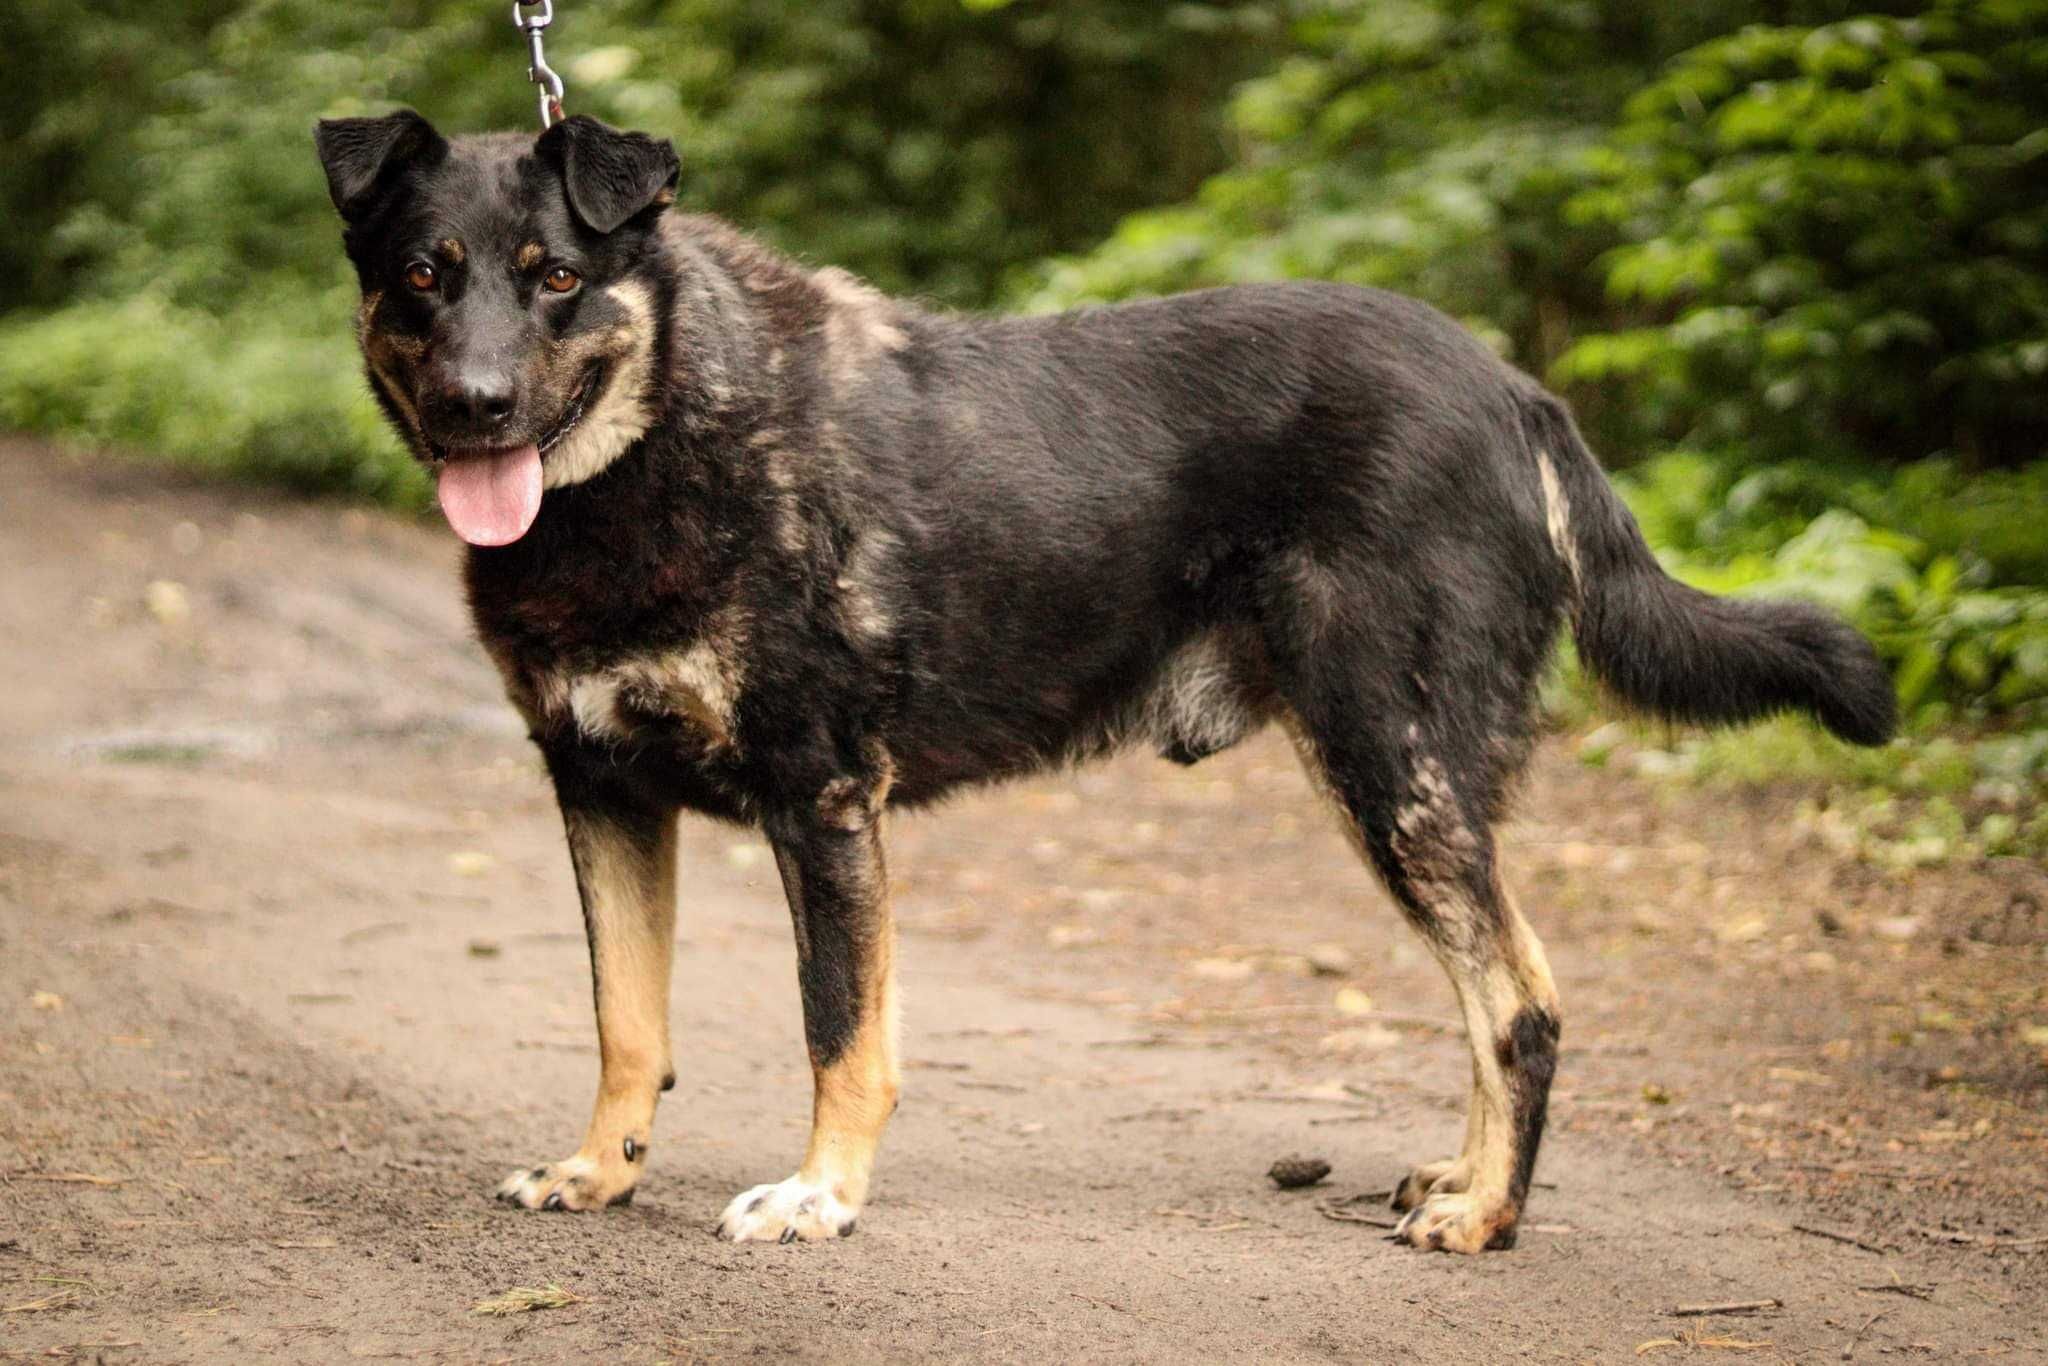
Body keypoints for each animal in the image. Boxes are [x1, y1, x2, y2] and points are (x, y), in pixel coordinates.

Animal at [311, 112, 1892, 1253]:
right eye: (424, 276)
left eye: (558, 276)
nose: (476, 408)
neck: (652, 445)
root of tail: (1519, 394)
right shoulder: (601, 790)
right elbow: (626, 1021)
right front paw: (599, 1169)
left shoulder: (821, 800)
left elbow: (839, 1027)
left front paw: (822, 1197)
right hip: (1406, 776)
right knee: (1491, 1000)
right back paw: (1460, 1176)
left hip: (1391, 763)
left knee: (1521, 999)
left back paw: (1488, 1217)